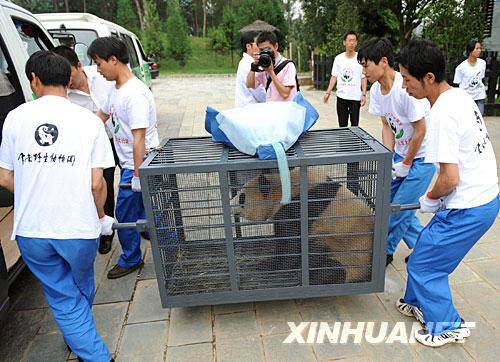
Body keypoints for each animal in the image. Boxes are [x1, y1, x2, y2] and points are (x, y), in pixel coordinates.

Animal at [229, 168, 372, 284]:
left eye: (242, 197)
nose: (230, 205)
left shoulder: (300, 207)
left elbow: (292, 240)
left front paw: (272, 265)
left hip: (347, 256)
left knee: (329, 267)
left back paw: (311, 278)